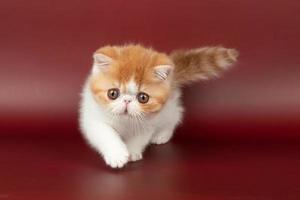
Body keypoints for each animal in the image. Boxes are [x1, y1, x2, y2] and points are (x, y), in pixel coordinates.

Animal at [78, 44, 238, 168]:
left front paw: (132, 152)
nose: (127, 101)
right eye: (112, 93)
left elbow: (140, 137)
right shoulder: (93, 117)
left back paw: (162, 135)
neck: (126, 121)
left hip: (169, 108)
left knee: (175, 115)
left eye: (143, 98)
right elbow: (105, 134)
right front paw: (117, 155)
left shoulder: (149, 121)